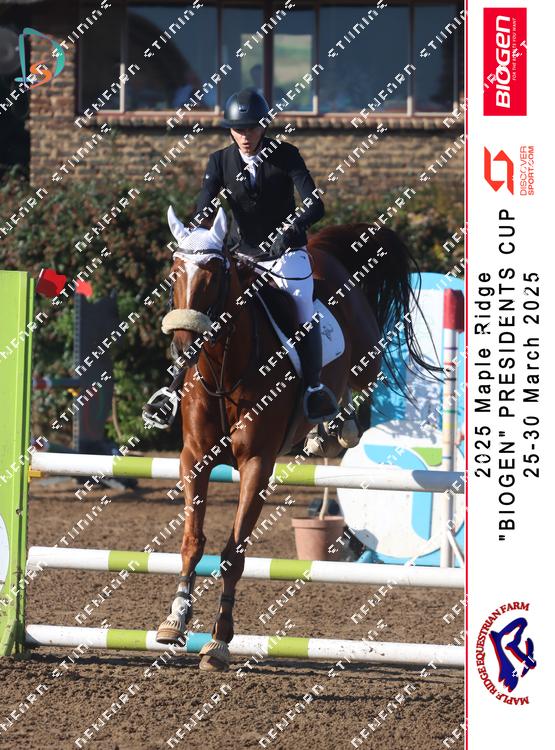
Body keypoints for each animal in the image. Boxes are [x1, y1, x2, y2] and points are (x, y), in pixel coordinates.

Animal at [154, 205, 435, 671]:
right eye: (174, 271)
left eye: (213, 272)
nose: (182, 349)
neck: (225, 371)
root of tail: (323, 249)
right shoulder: (194, 458)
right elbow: (192, 541)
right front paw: (174, 620)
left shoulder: (257, 465)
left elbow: (233, 554)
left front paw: (219, 642)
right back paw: (323, 433)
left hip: (366, 358)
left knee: (357, 393)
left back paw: (333, 429)